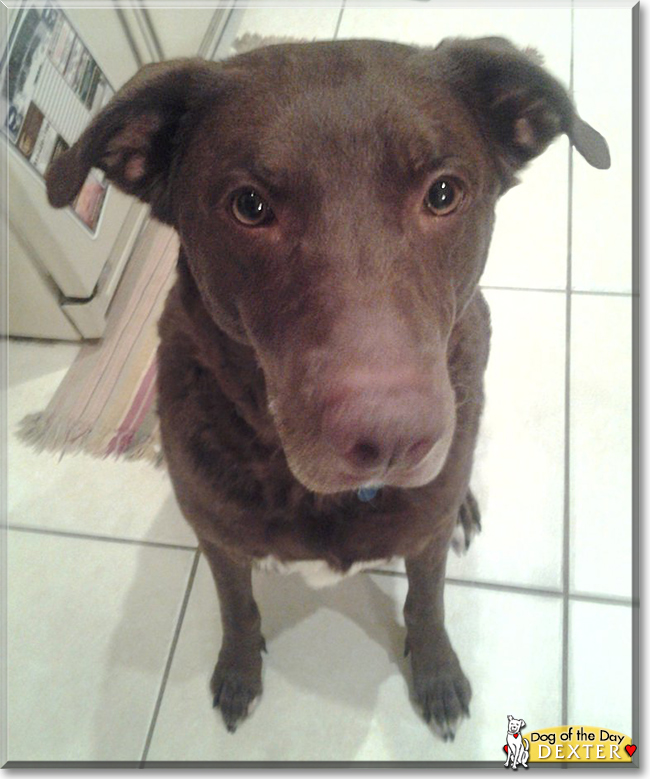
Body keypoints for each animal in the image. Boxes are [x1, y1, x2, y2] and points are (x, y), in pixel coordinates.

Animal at [45, 38, 608, 744]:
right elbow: (236, 606)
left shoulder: (424, 536)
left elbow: (427, 603)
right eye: (250, 206)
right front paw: (239, 671)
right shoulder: (217, 537)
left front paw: (437, 673)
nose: (393, 440)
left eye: (443, 193)